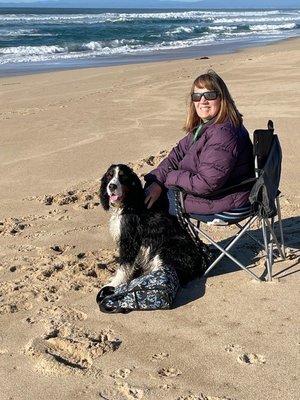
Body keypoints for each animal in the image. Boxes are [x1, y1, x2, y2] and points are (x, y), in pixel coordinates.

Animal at [99, 162, 207, 296]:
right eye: (109, 175)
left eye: (122, 177)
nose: (112, 186)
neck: (128, 203)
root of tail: (201, 261)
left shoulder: (129, 240)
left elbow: (124, 265)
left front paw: (114, 283)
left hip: (165, 251)